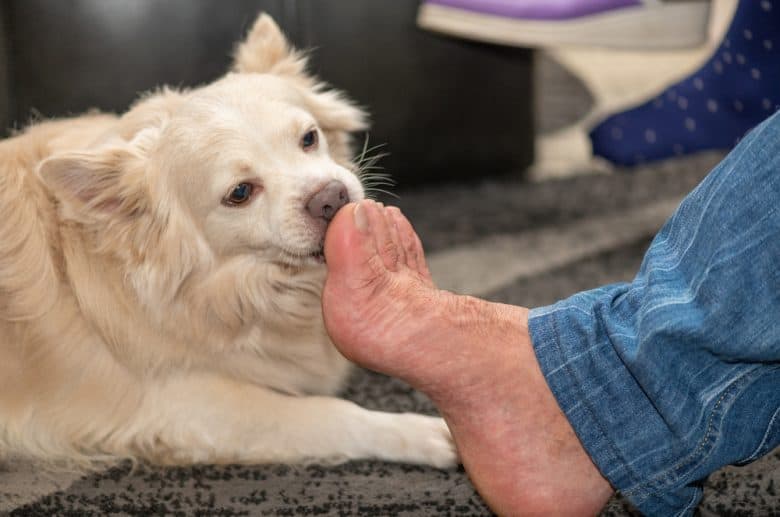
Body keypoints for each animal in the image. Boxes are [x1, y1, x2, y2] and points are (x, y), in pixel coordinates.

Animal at [0, 15, 458, 468]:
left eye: (309, 138)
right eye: (240, 193)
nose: (331, 197)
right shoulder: (185, 407)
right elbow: (331, 413)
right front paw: (421, 433)